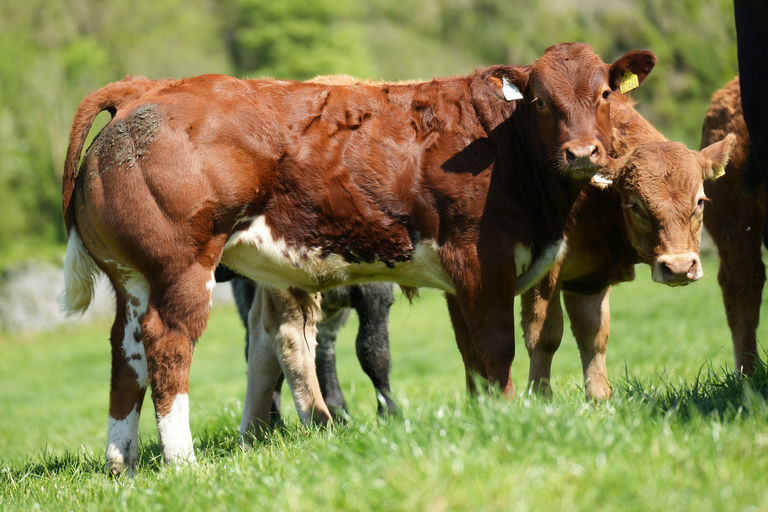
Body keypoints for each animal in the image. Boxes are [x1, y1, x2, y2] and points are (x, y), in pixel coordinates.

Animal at [60, 43, 656, 474]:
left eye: (604, 92)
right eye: (539, 101)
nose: (582, 153)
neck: (505, 149)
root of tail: (147, 88)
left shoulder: (461, 281)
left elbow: (472, 357)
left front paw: (483, 417)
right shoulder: (481, 262)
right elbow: (497, 350)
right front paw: (508, 419)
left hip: (134, 280)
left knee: (127, 355)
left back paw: (121, 461)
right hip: (181, 269)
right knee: (169, 347)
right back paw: (183, 462)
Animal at [522, 90, 735, 400]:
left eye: (699, 202)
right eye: (636, 206)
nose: (680, 267)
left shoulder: (589, 278)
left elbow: (593, 336)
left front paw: (599, 398)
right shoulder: (543, 276)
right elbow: (543, 335)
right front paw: (538, 398)